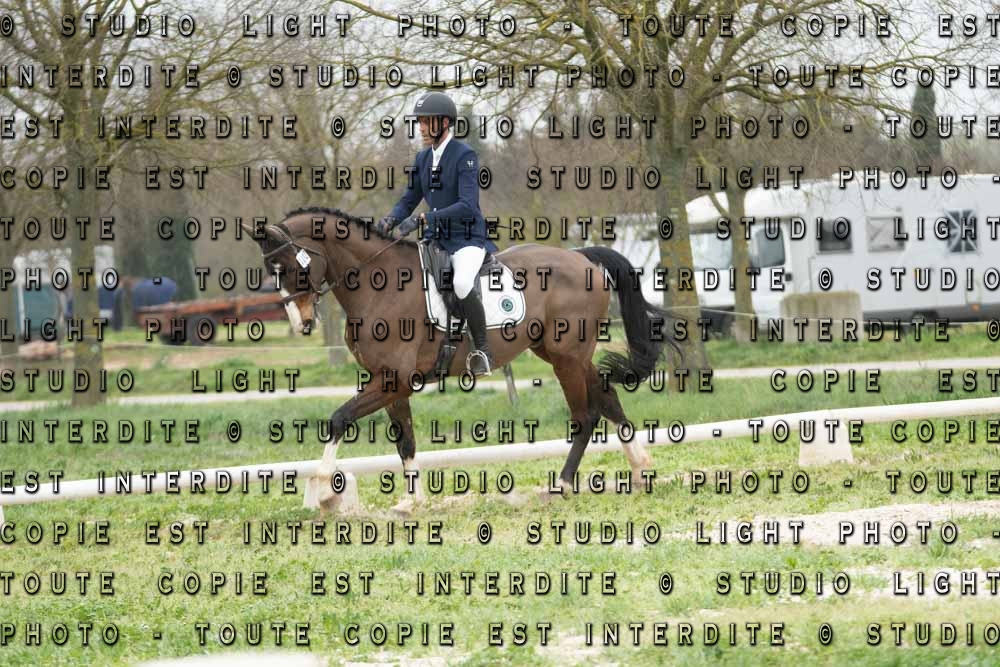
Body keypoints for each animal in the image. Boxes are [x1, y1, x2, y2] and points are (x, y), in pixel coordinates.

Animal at [245, 206, 684, 514]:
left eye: (287, 266)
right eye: (270, 269)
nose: (302, 323)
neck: (376, 284)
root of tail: (581, 257)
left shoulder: (392, 380)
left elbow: (339, 418)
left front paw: (322, 491)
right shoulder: (391, 383)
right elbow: (405, 440)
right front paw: (411, 502)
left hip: (567, 356)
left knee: (585, 415)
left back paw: (561, 485)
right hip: (564, 352)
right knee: (607, 398)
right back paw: (641, 470)